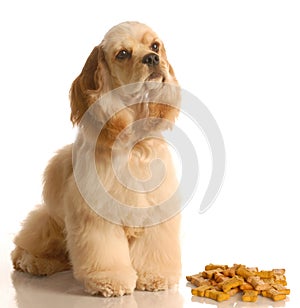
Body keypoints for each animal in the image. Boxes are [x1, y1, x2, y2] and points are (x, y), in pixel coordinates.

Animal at [11, 21, 180, 296]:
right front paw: (109, 280)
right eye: (123, 53)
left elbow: (154, 247)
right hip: (50, 220)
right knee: (25, 244)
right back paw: (33, 261)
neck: (132, 141)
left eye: (155, 46)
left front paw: (156, 276)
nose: (153, 59)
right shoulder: (95, 209)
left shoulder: (156, 203)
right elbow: (104, 251)